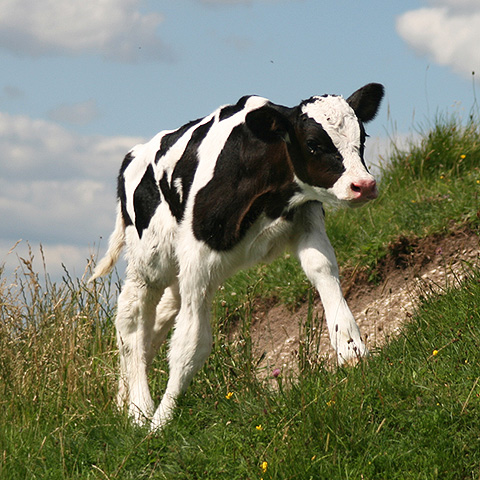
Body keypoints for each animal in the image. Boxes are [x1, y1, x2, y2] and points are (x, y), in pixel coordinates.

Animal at [89, 83, 382, 432]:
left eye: (362, 136)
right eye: (313, 144)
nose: (363, 185)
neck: (268, 197)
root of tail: (133, 154)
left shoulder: (307, 221)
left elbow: (326, 277)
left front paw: (353, 355)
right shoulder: (197, 262)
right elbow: (191, 345)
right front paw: (161, 421)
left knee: (157, 320)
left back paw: (123, 399)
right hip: (150, 261)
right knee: (131, 320)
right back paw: (138, 409)